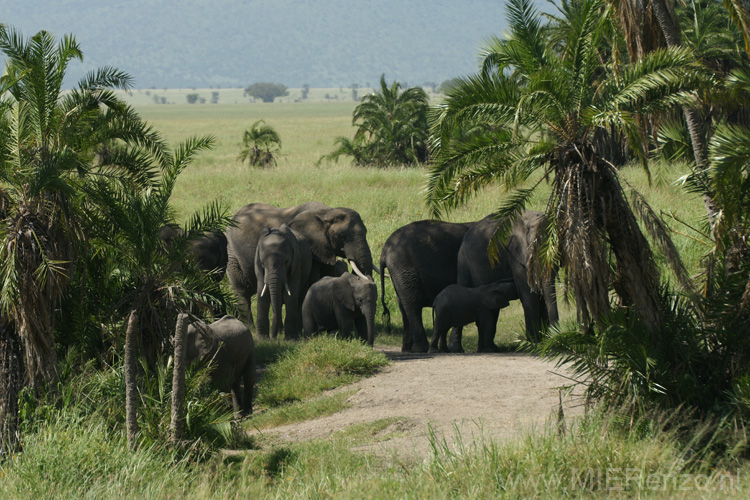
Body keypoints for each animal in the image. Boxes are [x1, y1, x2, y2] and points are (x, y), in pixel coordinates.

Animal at [223, 201, 376, 330]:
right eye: (342, 235)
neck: (327, 212)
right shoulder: (310, 247)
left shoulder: (324, 250)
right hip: (232, 253)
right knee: (241, 290)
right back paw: (250, 327)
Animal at [378, 221, 478, 354]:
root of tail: (384, 252)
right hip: (405, 268)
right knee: (412, 303)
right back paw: (420, 349)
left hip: (399, 273)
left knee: (403, 305)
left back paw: (407, 349)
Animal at [450, 212, 560, 352]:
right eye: (535, 247)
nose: (556, 341)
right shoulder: (515, 254)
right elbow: (528, 295)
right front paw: (534, 345)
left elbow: (540, 297)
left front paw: (544, 343)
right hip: (463, 258)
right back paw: (457, 349)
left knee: (491, 307)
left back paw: (488, 349)